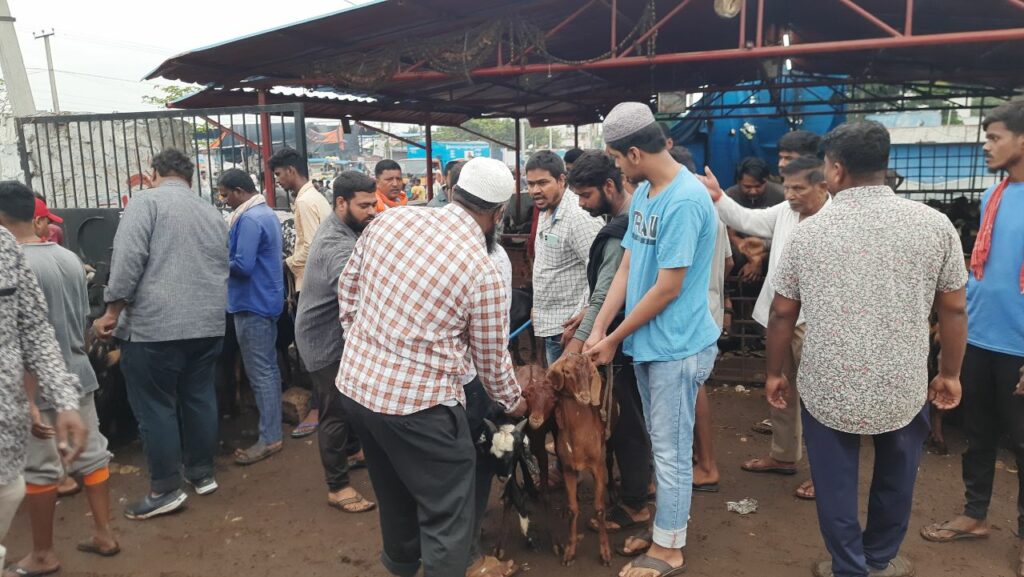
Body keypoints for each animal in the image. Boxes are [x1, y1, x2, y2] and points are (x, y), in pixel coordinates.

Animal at [544, 354, 614, 565]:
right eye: (567, 372)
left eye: (590, 372)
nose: (585, 397)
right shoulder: (568, 468)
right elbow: (573, 509)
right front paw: (569, 551)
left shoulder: (597, 466)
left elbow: (599, 509)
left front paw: (605, 553)